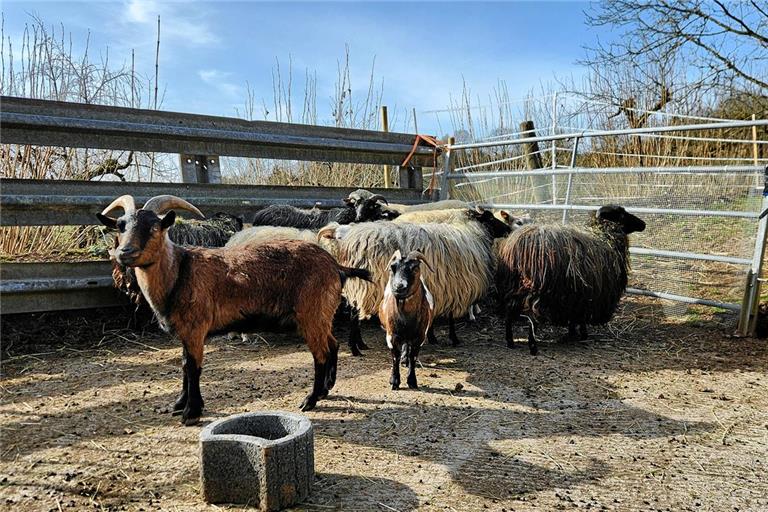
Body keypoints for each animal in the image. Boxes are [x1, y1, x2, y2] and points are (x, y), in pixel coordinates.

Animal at [97, 194, 371, 425]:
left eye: (155, 227)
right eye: (120, 226)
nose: (125, 252)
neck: (180, 272)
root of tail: (336, 266)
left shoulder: (195, 328)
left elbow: (193, 368)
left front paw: (191, 412)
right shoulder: (185, 333)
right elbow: (185, 365)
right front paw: (179, 404)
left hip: (311, 313)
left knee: (320, 354)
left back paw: (310, 400)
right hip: (322, 313)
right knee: (333, 344)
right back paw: (326, 389)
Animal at [318, 207, 511, 355]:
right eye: (490, 217)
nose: (508, 230)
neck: (473, 232)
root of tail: (351, 243)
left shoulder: (438, 288)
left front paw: (431, 337)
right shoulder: (455, 287)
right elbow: (450, 318)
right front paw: (453, 339)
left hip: (361, 286)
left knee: (355, 313)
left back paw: (360, 345)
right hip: (368, 286)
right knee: (354, 316)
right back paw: (355, 349)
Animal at [379, 250, 434, 390]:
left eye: (415, 268)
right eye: (392, 268)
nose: (399, 286)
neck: (405, 320)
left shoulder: (420, 337)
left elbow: (413, 357)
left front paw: (412, 381)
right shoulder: (391, 336)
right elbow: (395, 357)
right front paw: (394, 381)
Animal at [495, 205, 646, 355]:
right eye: (622, 214)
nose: (643, 224)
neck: (605, 237)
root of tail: (518, 245)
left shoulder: (575, 296)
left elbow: (574, 317)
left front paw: (572, 333)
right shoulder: (589, 296)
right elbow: (582, 318)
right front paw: (582, 334)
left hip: (514, 286)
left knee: (509, 314)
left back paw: (510, 342)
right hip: (537, 290)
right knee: (532, 317)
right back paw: (533, 347)